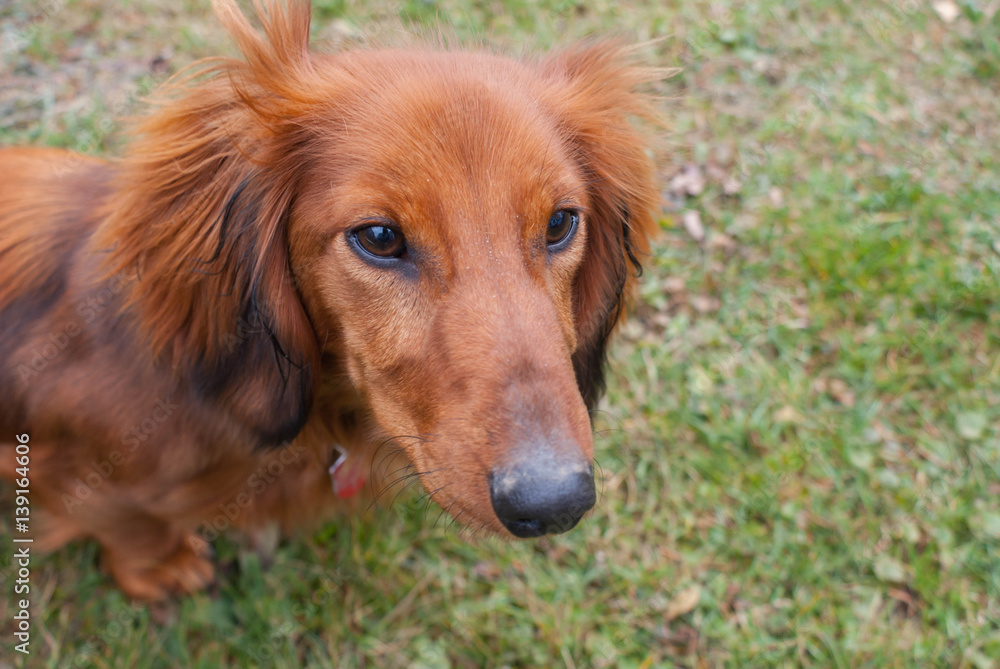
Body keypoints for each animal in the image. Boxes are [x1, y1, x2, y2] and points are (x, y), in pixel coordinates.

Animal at [0, 0, 660, 600]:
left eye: (560, 224)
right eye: (379, 237)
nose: (555, 503)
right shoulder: (73, 471)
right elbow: (132, 528)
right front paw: (164, 570)